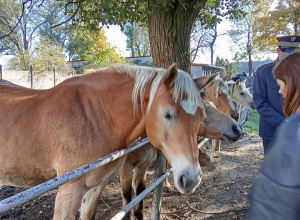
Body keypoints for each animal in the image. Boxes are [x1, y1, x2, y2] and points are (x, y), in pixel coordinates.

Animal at [0, 64, 216, 219]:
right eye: (168, 114)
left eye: (202, 116)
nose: (192, 179)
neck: (92, 116)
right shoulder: (69, 191)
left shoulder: (95, 187)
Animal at [119, 91, 244, 220]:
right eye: (204, 112)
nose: (237, 128)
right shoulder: (126, 166)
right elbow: (127, 195)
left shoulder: (145, 163)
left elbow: (141, 189)